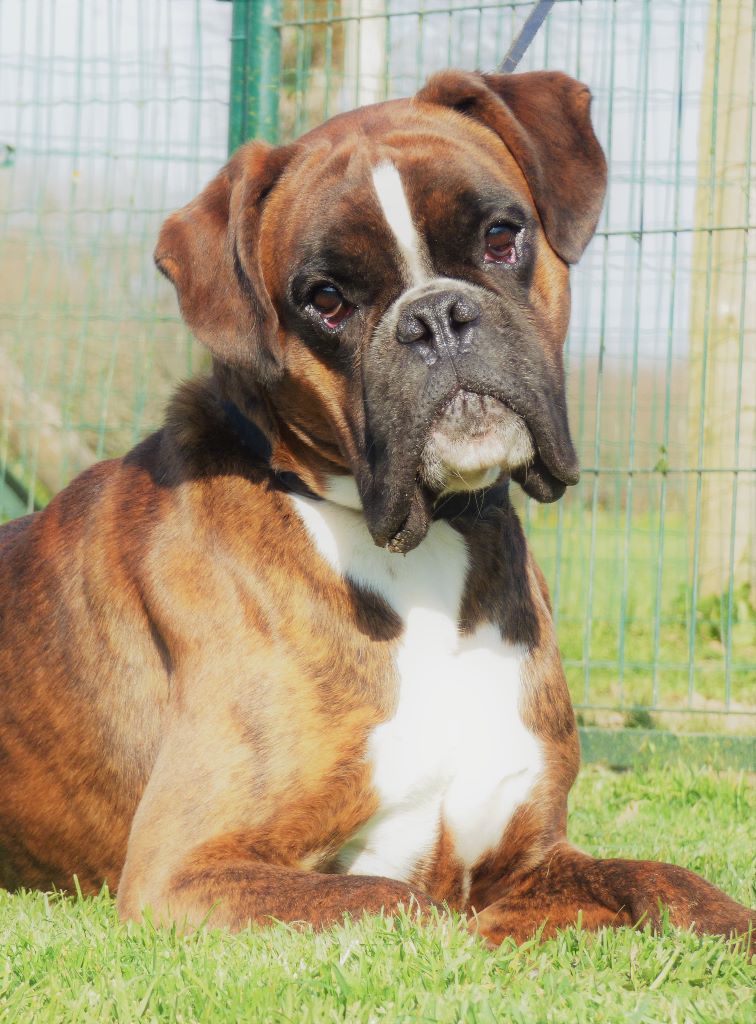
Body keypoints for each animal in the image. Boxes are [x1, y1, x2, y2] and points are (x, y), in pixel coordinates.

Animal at [0, 72, 749, 946]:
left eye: (502, 237)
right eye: (325, 299)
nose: (435, 319)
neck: (425, 553)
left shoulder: (531, 850)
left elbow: (659, 878)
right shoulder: (184, 871)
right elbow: (407, 906)